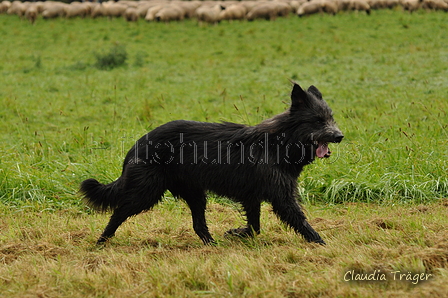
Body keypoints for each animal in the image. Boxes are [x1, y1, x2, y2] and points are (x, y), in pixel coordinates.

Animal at [81, 82, 344, 246]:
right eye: (317, 120)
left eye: (330, 118)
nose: (340, 136)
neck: (279, 142)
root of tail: (137, 144)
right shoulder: (281, 197)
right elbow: (300, 221)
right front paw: (322, 243)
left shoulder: (252, 197)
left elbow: (255, 226)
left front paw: (237, 233)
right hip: (146, 192)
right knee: (118, 213)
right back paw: (101, 241)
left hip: (195, 194)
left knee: (198, 225)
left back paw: (212, 244)